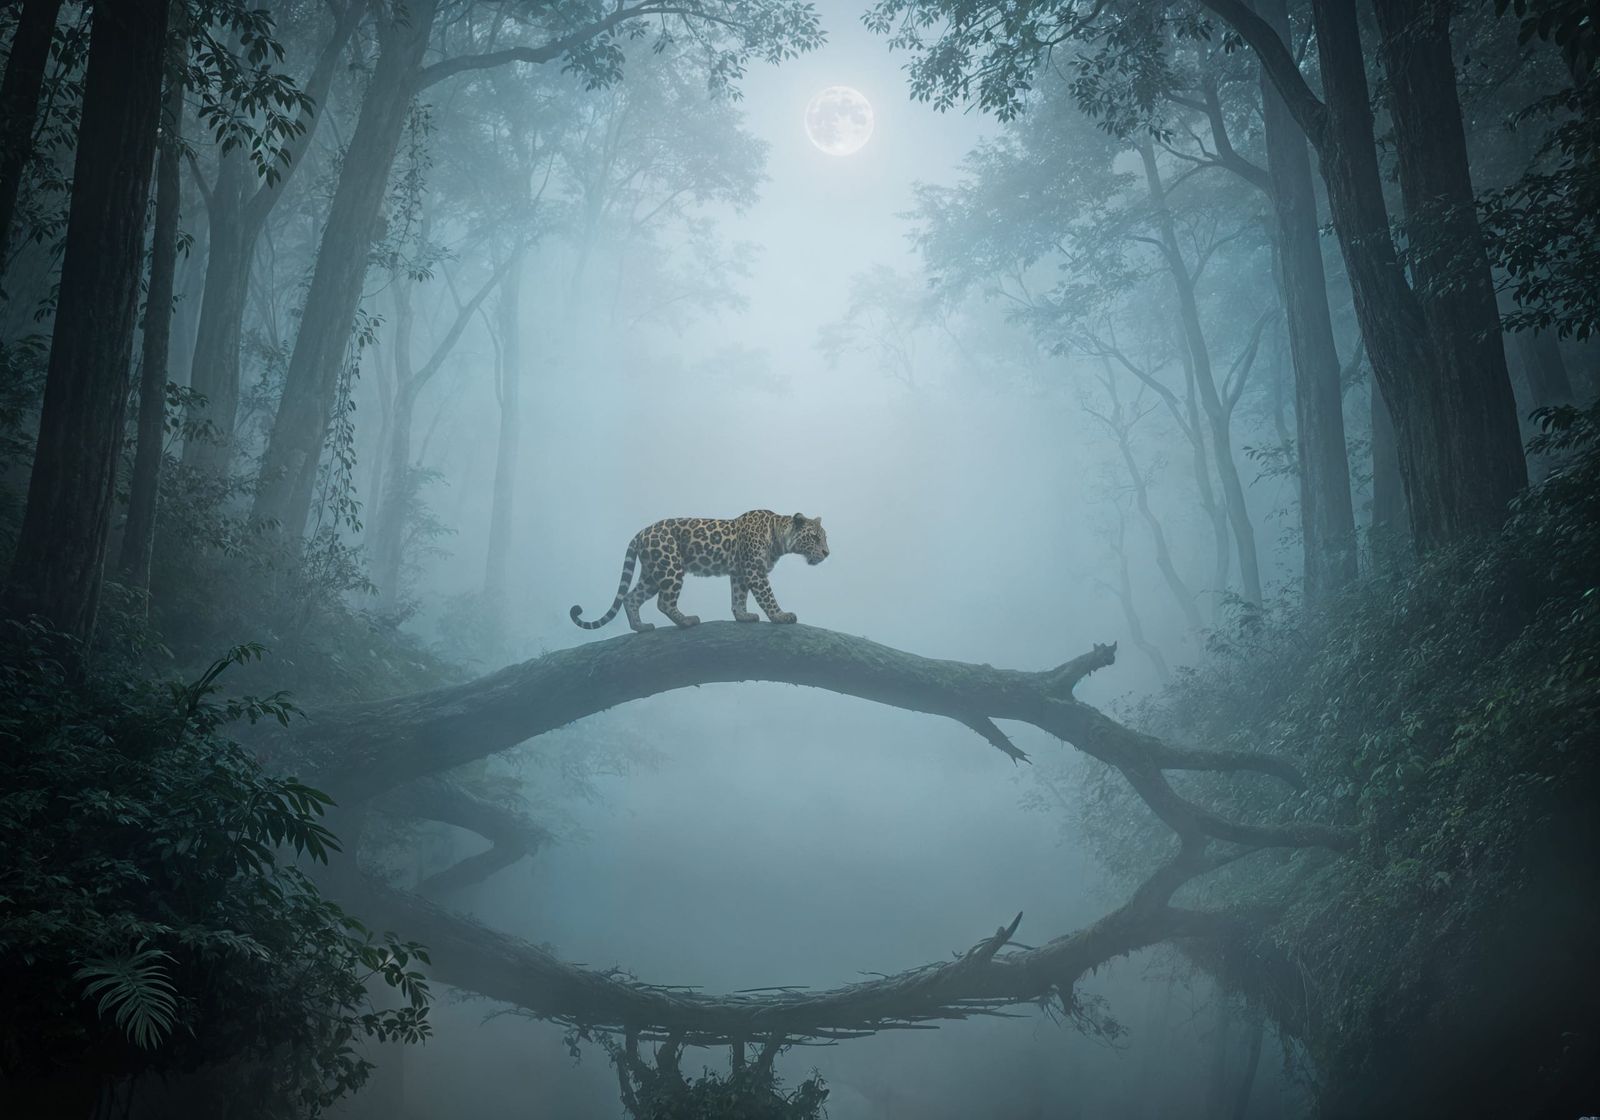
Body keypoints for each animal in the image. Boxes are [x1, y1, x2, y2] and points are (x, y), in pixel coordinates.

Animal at [570, 510, 830, 632]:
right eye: (815, 538)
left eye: (824, 537)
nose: (827, 553)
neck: (778, 535)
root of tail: (640, 533)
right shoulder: (754, 571)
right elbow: (768, 597)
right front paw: (780, 616)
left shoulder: (740, 573)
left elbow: (738, 597)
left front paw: (742, 616)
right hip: (671, 566)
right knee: (664, 602)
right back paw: (686, 621)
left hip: (653, 572)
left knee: (631, 597)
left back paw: (640, 627)